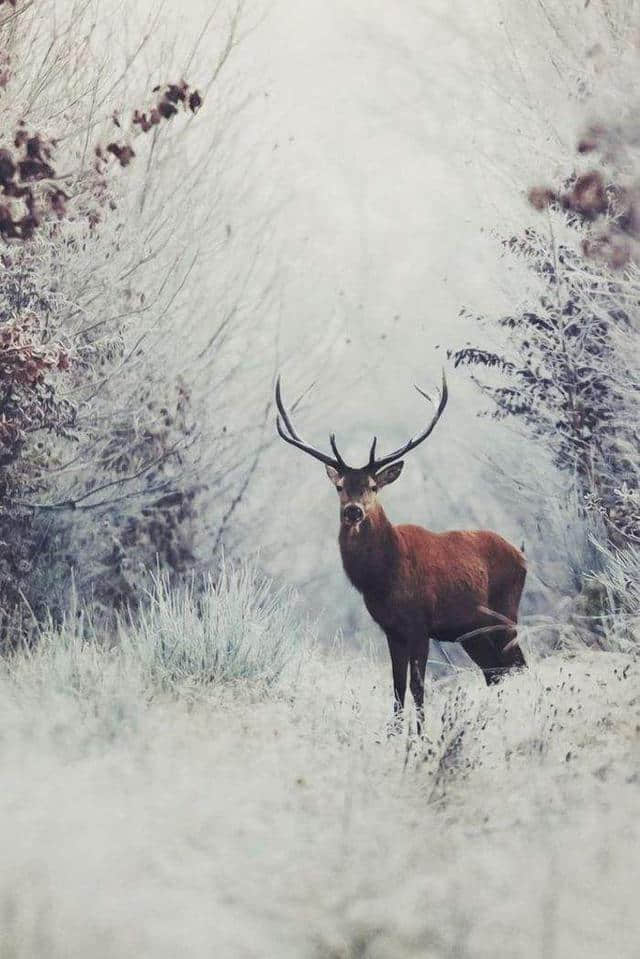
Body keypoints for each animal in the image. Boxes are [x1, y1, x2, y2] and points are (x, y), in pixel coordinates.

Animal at [278, 374, 528, 736]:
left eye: (372, 486)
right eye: (340, 486)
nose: (353, 511)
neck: (384, 578)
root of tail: (522, 556)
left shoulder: (420, 622)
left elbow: (417, 686)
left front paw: (421, 737)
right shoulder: (391, 628)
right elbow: (396, 687)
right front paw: (394, 735)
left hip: (506, 613)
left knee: (517, 665)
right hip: (473, 632)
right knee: (496, 672)